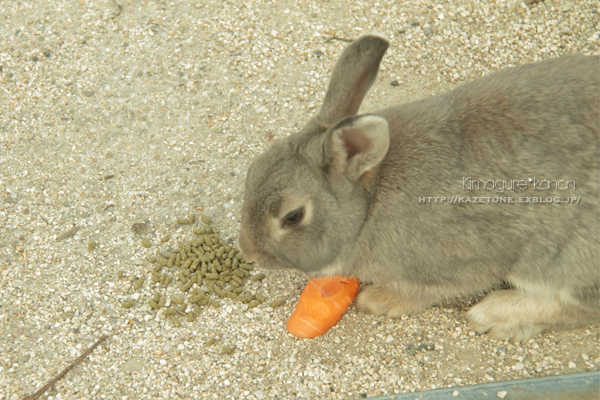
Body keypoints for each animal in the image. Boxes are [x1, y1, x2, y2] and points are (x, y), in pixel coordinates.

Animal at [237, 32, 596, 342]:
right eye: (253, 169)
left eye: (293, 216)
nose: (248, 251)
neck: (368, 207)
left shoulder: (457, 263)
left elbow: (425, 291)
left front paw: (378, 300)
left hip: (562, 257)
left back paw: (495, 315)